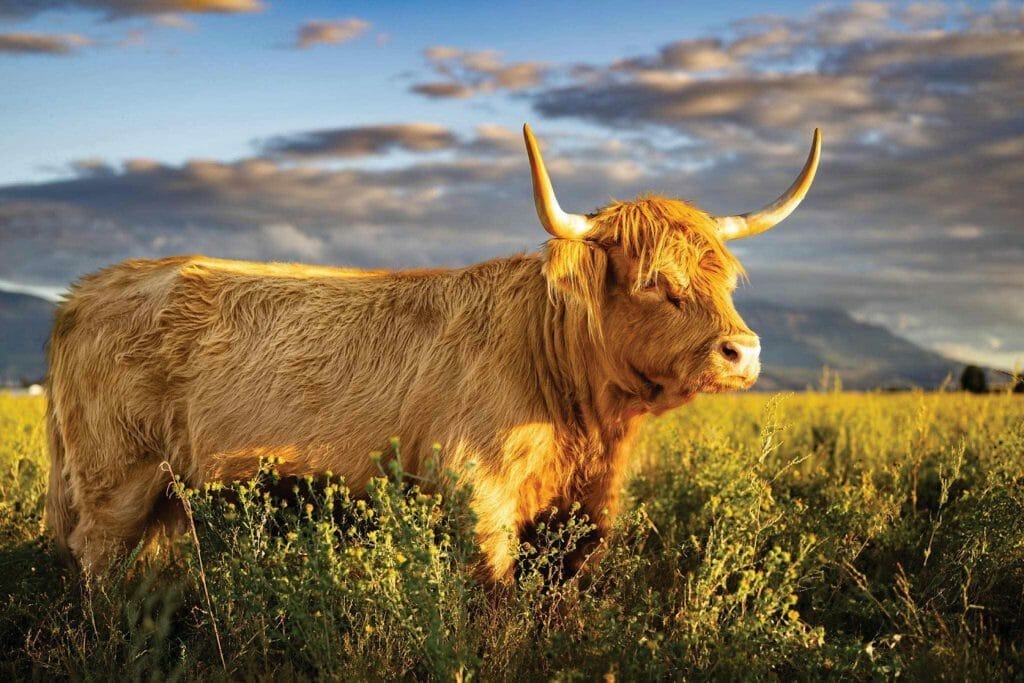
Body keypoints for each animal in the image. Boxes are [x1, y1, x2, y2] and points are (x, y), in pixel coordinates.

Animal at [45, 124, 820, 581]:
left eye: (724, 278)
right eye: (655, 282)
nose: (742, 352)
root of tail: (86, 291)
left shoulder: (577, 520)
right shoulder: (477, 501)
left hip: (163, 497)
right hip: (116, 479)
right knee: (99, 566)